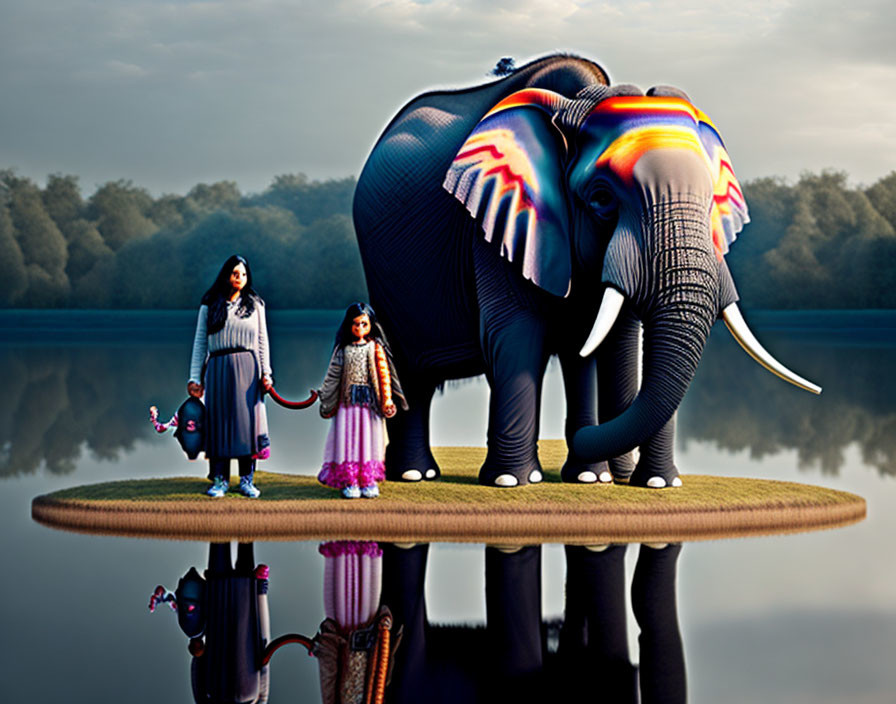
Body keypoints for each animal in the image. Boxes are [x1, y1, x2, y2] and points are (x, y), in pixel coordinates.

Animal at [352, 53, 820, 490]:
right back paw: (414, 475)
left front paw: (631, 481)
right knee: (410, 368)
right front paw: (512, 481)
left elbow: (613, 340)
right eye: (601, 200)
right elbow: (517, 331)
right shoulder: (495, 222)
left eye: (710, 200)